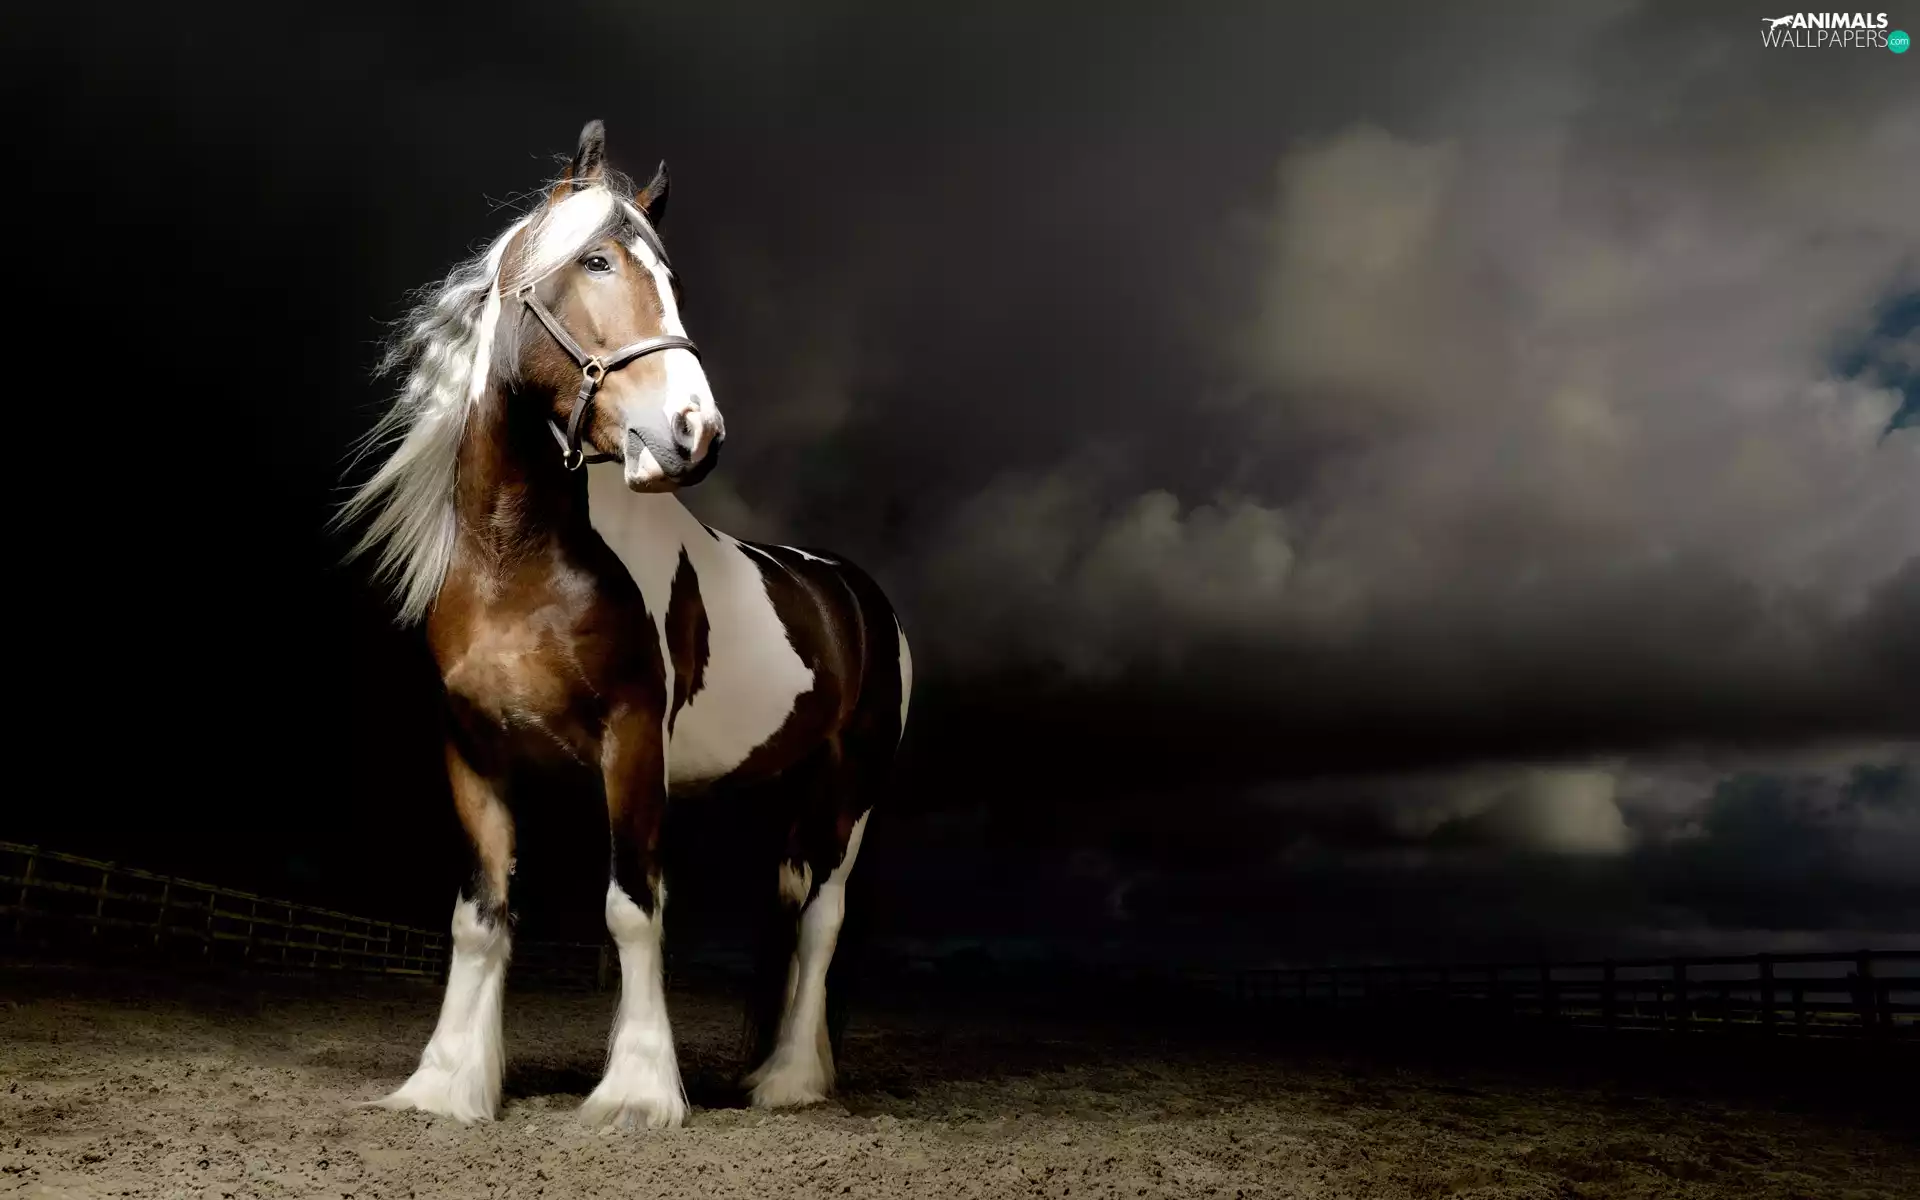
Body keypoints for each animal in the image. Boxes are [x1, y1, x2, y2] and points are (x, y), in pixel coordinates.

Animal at [336, 120, 911, 1130]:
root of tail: (855, 594)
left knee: (825, 916)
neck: (519, 565)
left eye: (669, 276)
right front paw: (446, 1083)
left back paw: (792, 1081)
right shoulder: (472, 748)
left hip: (853, 788)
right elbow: (479, 915)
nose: (694, 431)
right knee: (792, 900)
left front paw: (638, 1093)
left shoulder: (633, 743)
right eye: (595, 261)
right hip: (794, 785)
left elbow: (634, 905)